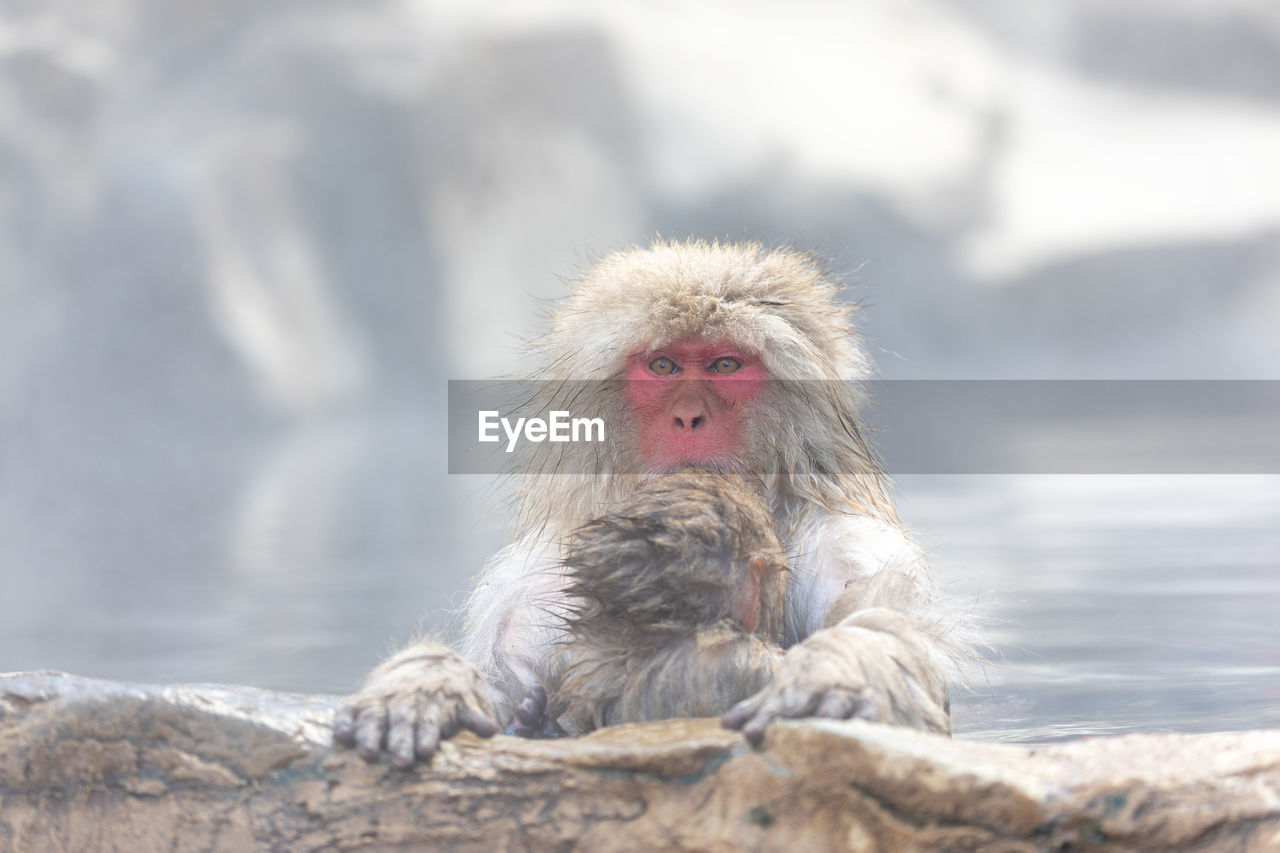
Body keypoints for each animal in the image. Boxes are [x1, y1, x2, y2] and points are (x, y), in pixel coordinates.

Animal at [335, 236, 957, 763]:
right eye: (663, 366)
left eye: (725, 365)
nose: (689, 416)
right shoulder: (531, 589)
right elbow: (505, 686)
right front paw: (425, 684)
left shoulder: (852, 546)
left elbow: (888, 641)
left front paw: (832, 668)